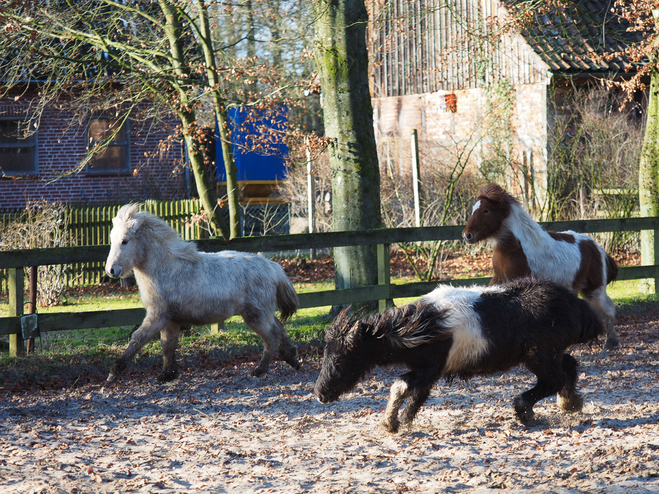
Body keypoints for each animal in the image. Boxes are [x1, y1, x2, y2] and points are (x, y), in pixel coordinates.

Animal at [104, 205, 300, 382]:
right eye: (112, 239)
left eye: (125, 240)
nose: (111, 270)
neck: (165, 268)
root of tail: (272, 266)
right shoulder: (170, 319)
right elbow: (168, 345)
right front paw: (167, 374)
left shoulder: (158, 316)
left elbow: (138, 338)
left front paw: (114, 372)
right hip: (264, 313)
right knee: (279, 329)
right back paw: (292, 358)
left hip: (256, 316)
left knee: (271, 337)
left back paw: (260, 370)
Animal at [314, 280, 604, 434]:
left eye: (341, 359)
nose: (320, 394)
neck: (423, 325)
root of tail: (578, 307)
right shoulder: (428, 372)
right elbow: (416, 396)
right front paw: (402, 422)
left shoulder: (429, 368)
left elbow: (400, 386)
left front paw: (389, 423)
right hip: (550, 354)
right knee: (569, 366)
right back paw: (570, 403)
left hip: (539, 356)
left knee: (553, 380)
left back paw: (526, 412)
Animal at [464, 183, 620, 350]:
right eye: (473, 209)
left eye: (486, 210)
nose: (467, 235)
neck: (516, 248)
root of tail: (598, 248)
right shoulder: (499, 281)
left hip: (594, 290)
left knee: (608, 309)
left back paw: (611, 343)